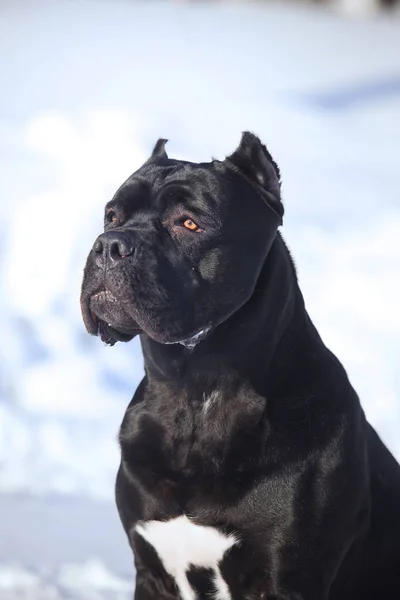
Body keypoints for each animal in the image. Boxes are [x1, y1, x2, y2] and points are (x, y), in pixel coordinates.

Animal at [80, 132, 400, 600]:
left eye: (189, 223)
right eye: (111, 215)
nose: (110, 244)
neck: (194, 391)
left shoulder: (286, 580)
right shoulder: (151, 571)